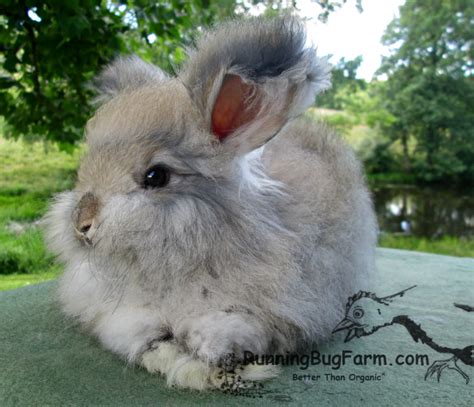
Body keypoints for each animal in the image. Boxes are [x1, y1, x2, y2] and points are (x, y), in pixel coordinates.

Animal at [45, 16, 378, 392]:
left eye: (155, 176)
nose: (81, 224)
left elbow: (224, 336)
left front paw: (220, 363)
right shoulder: (125, 320)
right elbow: (151, 343)